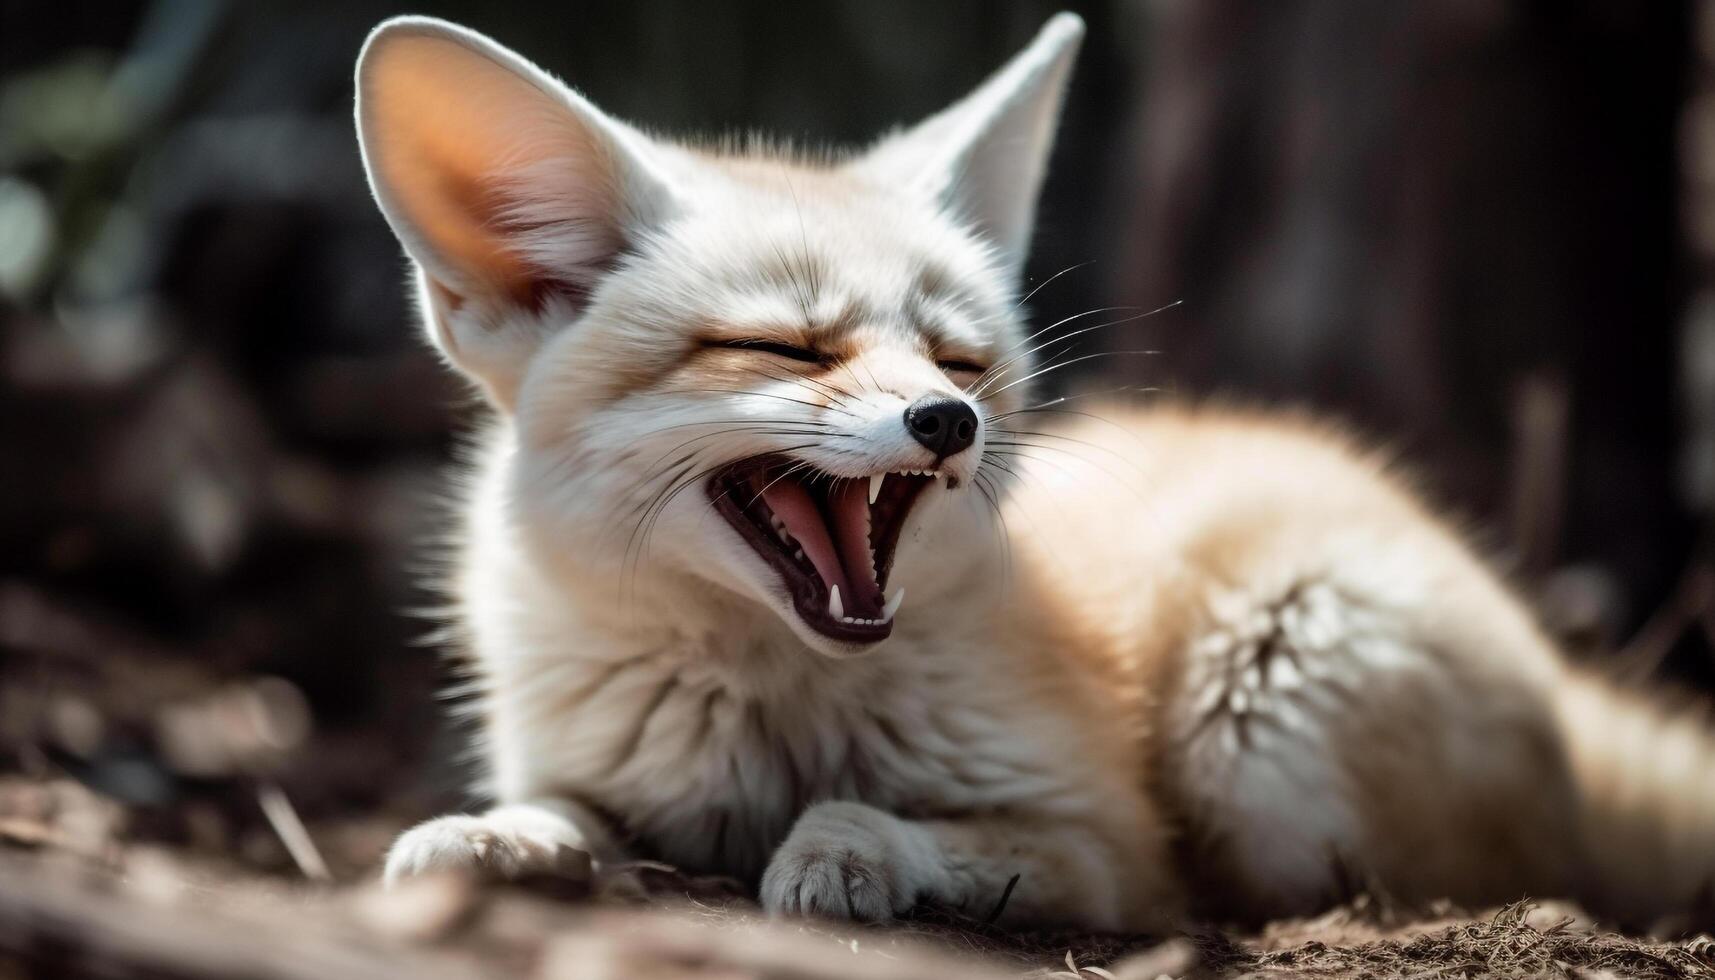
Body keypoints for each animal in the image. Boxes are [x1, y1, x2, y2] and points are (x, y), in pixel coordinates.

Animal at [351, 17, 1715, 933]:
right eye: (785, 347)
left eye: (960, 357)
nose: (947, 419)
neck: (771, 718)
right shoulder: (596, 777)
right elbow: (549, 816)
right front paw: (481, 835)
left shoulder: (1107, 839)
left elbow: (886, 825)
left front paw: (837, 855)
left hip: (1258, 732)